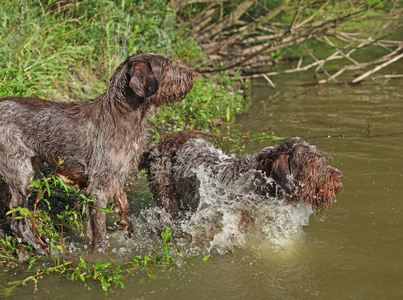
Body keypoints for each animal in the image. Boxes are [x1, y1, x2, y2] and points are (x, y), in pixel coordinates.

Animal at [0, 54, 197, 253]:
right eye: (166, 66)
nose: (194, 73)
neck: (125, 112)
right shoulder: (98, 187)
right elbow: (100, 231)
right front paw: (100, 253)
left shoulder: (116, 176)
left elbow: (123, 205)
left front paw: (125, 227)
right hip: (21, 170)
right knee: (17, 221)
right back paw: (42, 249)